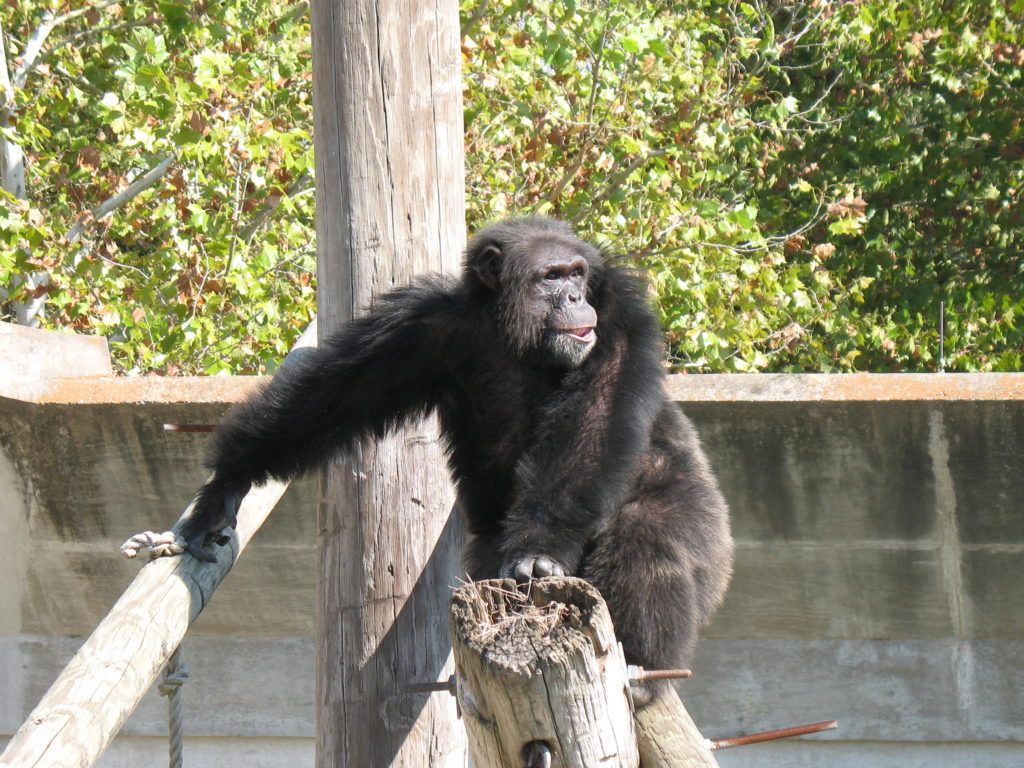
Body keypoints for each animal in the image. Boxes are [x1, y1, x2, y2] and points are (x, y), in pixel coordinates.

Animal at [180, 218, 733, 696]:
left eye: (578, 274)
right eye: (552, 276)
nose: (576, 297)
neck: (511, 333)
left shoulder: (617, 314)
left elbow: (596, 414)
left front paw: (539, 547)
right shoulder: (417, 328)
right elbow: (337, 395)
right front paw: (226, 485)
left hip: (708, 534)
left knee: (648, 536)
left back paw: (642, 669)